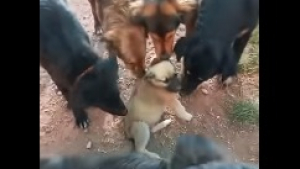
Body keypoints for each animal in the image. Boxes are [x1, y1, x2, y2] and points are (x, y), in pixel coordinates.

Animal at [39, 0, 126, 128]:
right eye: (101, 101)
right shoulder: (56, 75)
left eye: (117, 92)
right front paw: (81, 118)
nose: (126, 112)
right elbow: (69, 96)